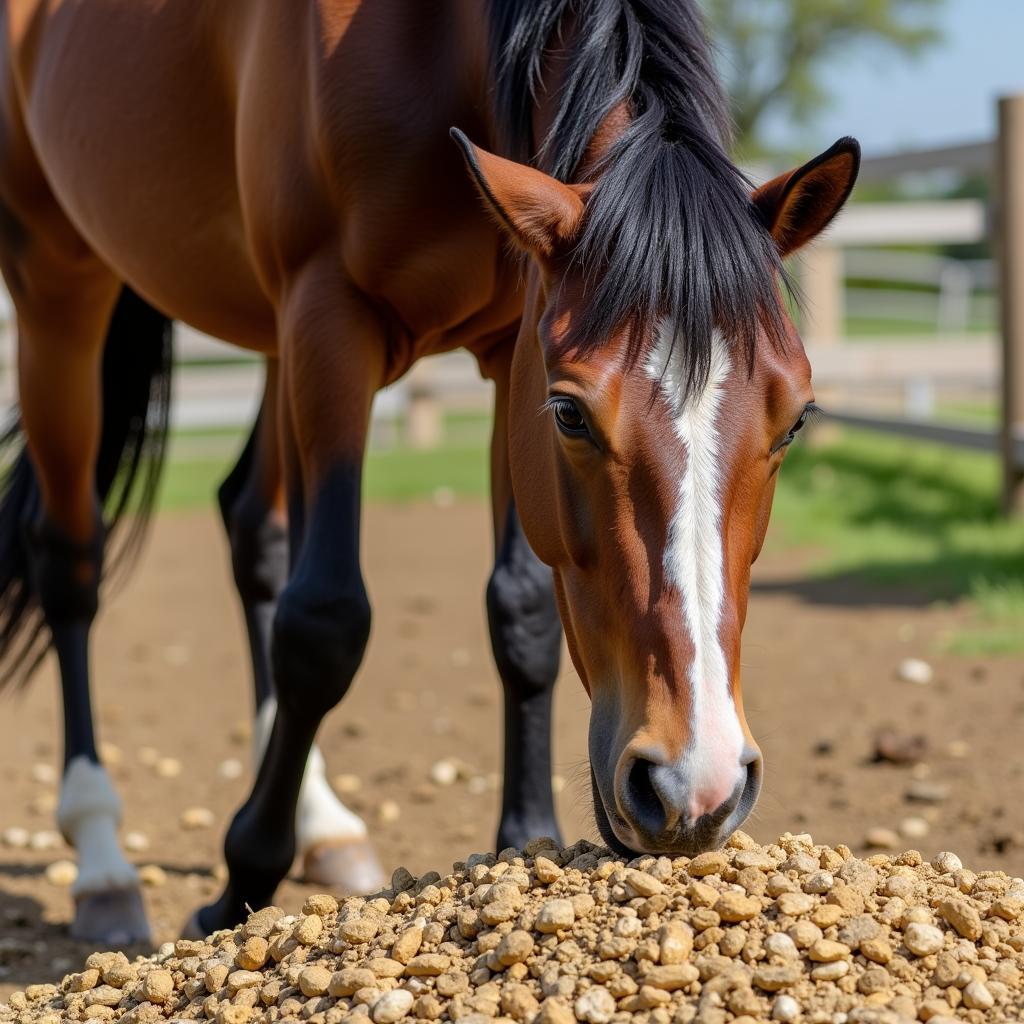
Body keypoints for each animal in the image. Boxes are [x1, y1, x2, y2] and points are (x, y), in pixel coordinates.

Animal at [0, 0, 860, 937]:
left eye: (795, 419)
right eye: (571, 414)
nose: (693, 786)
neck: (435, 43)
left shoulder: (508, 345)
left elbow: (521, 612)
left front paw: (525, 836)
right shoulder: (331, 316)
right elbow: (324, 622)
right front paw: (241, 879)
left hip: (268, 334)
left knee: (250, 526)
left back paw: (323, 823)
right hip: (60, 283)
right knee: (70, 561)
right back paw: (102, 860)